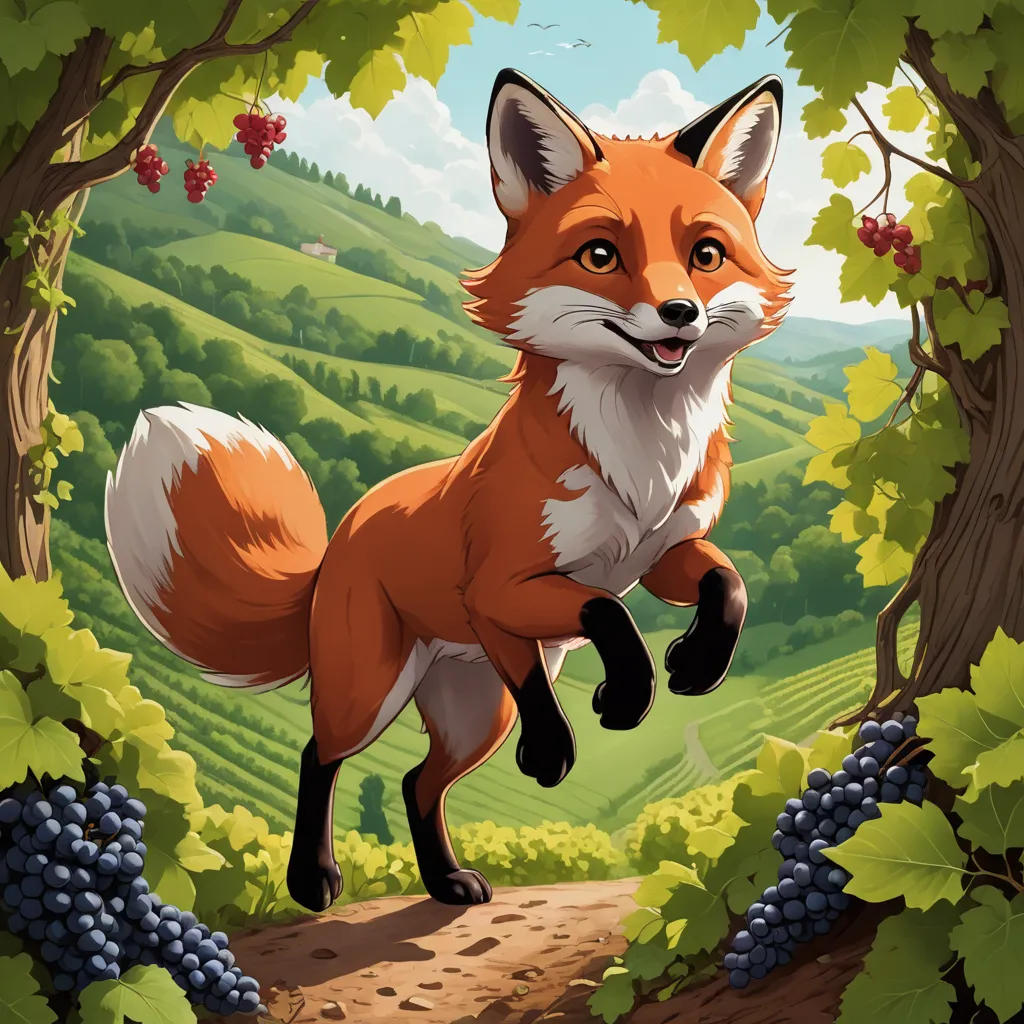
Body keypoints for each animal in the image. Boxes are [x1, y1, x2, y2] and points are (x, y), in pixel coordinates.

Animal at [104, 68, 791, 913]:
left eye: (706, 254)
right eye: (600, 254)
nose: (680, 314)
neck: (639, 458)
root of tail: (337, 545)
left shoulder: (662, 551)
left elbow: (728, 588)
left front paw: (695, 663)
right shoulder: (502, 590)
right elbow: (607, 614)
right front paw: (607, 710)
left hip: (474, 716)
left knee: (414, 781)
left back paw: (444, 879)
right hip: (372, 692)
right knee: (317, 754)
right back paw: (313, 879)